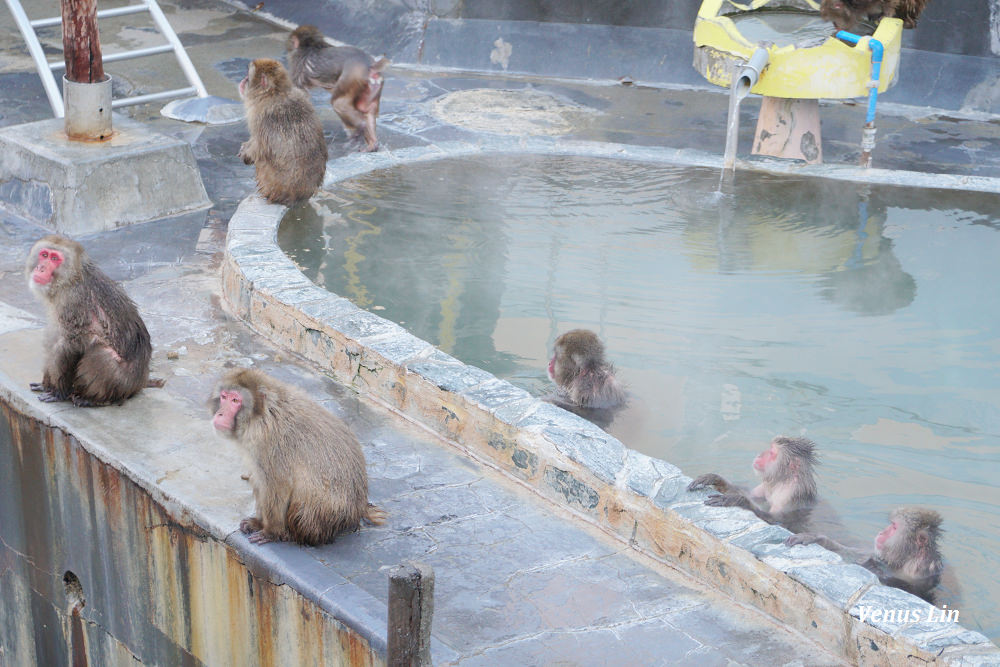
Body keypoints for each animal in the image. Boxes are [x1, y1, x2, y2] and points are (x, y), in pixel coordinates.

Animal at [25, 235, 156, 408]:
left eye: (54, 258)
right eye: (44, 255)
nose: (41, 268)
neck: (71, 279)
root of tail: (141, 382)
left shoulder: (73, 301)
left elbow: (72, 343)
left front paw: (58, 392)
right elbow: (53, 337)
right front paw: (47, 384)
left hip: (124, 382)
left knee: (101, 354)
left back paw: (94, 399)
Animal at [209, 368, 384, 544]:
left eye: (235, 400)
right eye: (224, 397)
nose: (220, 414)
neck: (263, 416)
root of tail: (359, 509)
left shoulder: (271, 447)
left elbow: (277, 486)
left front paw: (271, 531)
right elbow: (259, 480)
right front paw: (258, 522)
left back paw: (289, 534)